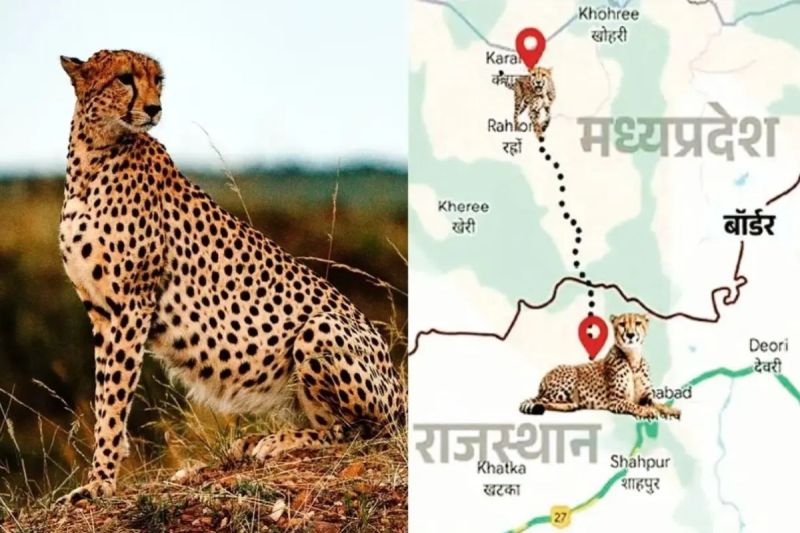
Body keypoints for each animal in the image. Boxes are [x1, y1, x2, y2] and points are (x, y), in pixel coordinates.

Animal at [56, 49, 406, 504]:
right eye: (125, 79)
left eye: (158, 80)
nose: (154, 108)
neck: (93, 154)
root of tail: (399, 388)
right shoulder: (101, 310)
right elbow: (104, 396)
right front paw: (100, 475)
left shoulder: (131, 305)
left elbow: (114, 399)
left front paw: (99, 482)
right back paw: (253, 441)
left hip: (322, 328)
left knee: (359, 432)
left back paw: (277, 441)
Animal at [519, 313, 680, 420]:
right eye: (622, 324)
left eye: (638, 323)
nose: (630, 335)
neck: (633, 359)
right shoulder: (616, 401)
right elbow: (634, 405)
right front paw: (647, 412)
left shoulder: (646, 398)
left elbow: (659, 404)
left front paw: (671, 410)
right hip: (570, 371)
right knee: (542, 401)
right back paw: (569, 405)